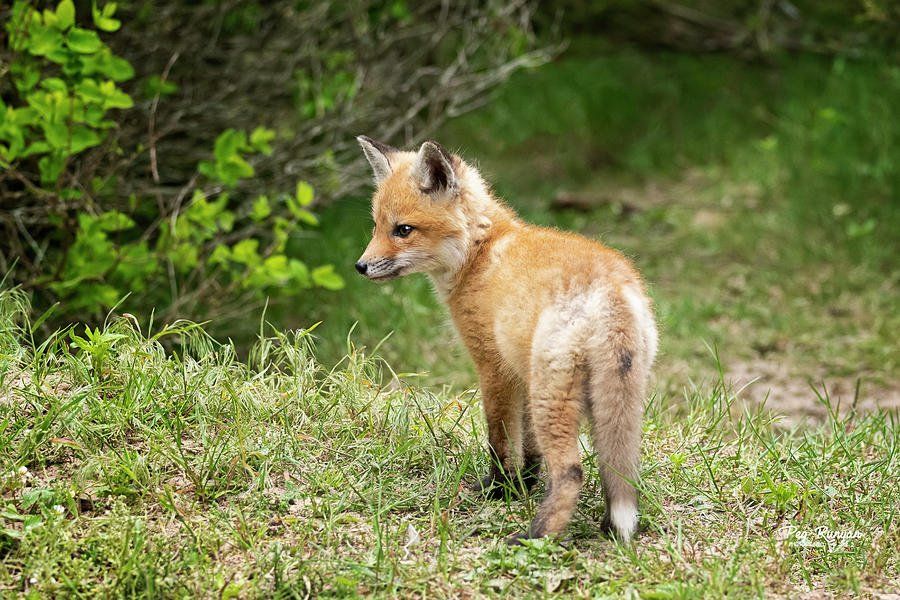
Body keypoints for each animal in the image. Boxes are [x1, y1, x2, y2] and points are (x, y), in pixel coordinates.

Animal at [354, 136, 658, 544]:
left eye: (403, 230)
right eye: (377, 226)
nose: (360, 266)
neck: (478, 253)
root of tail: (610, 289)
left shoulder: (492, 366)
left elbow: (499, 440)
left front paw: (500, 489)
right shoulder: (519, 370)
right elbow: (529, 448)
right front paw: (525, 484)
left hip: (553, 396)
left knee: (571, 472)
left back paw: (536, 536)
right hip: (618, 396)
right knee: (621, 470)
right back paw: (610, 526)